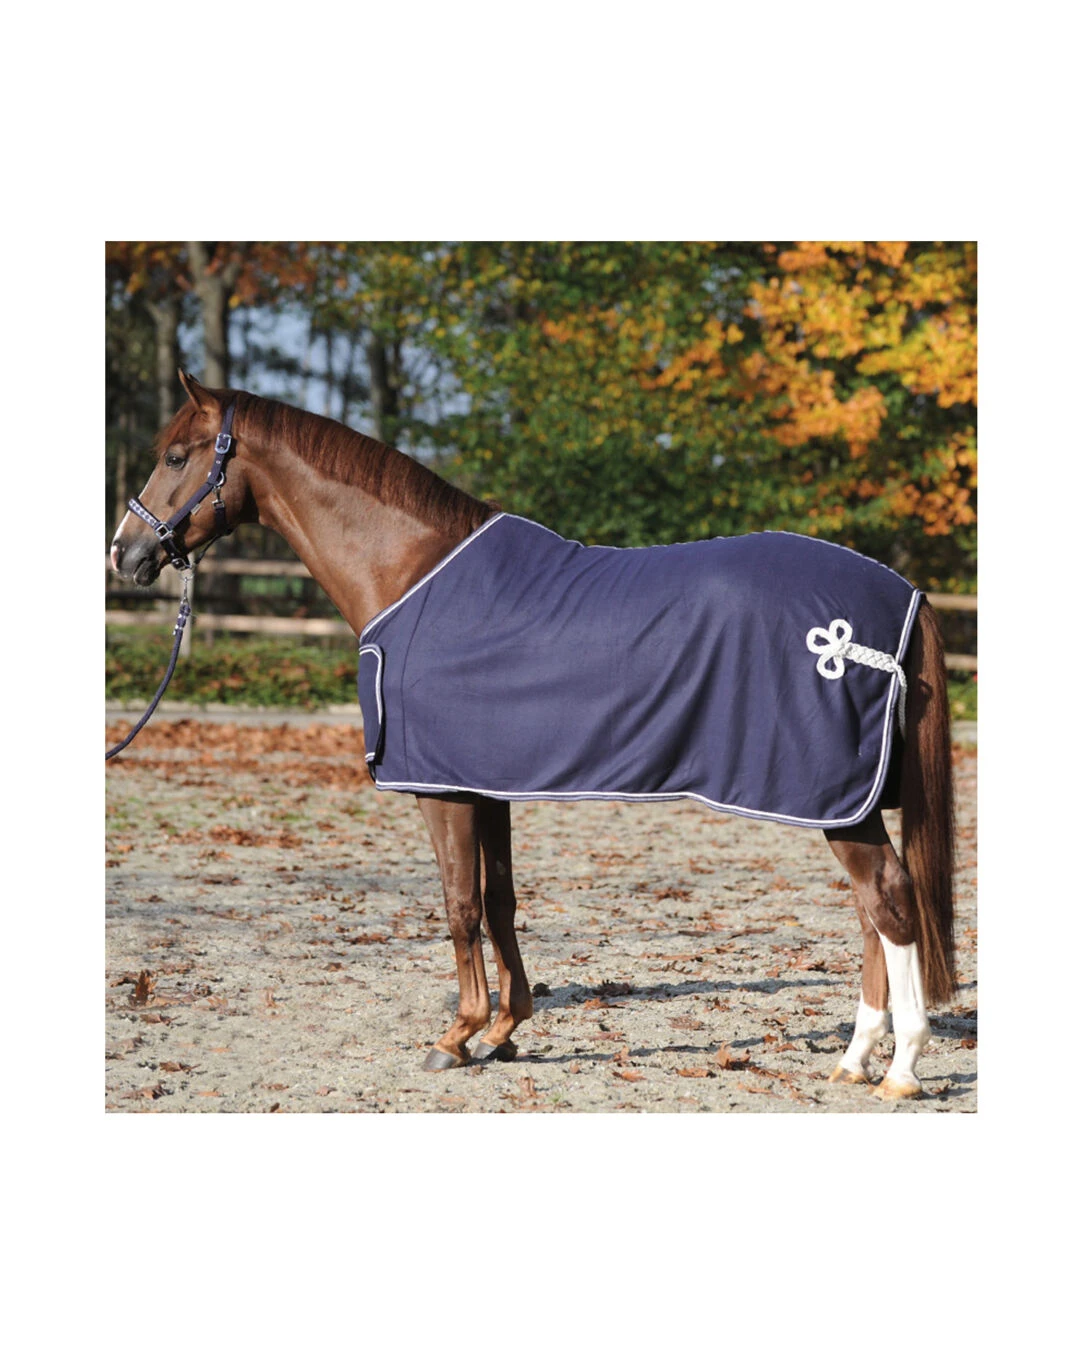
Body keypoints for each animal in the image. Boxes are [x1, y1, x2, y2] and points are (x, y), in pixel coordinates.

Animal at [109, 371, 955, 1101]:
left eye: (176, 455)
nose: (125, 552)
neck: (409, 570)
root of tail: (901, 594)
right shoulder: (487, 784)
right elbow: (501, 898)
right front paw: (506, 1030)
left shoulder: (441, 788)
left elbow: (459, 905)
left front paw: (456, 1036)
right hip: (843, 803)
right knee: (871, 909)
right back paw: (854, 1059)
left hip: (832, 797)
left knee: (888, 899)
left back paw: (900, 1068)